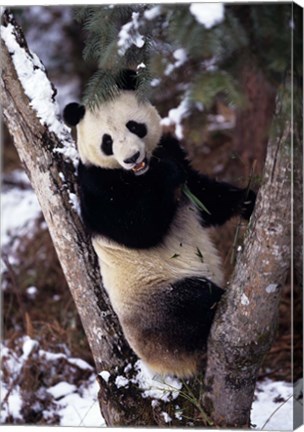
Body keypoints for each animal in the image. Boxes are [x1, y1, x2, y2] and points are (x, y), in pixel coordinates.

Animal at [64, 71, 256, 378]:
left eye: (134, 125)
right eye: (107, 141)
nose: (131, 158)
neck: (139, 174)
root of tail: (159, 365)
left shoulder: (173, 151)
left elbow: (205, 199)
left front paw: (248, 202)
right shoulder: (98, 187)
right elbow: (138, 230)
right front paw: (165, 174)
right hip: (159, 305)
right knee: (192, 303)